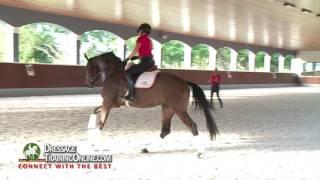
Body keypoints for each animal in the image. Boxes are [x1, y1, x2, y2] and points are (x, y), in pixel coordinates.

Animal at [85, 52, 219, 141]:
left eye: (89, 67)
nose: (88, 83)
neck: (113, 73)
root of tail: (184, 82)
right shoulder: (113, 104)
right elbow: (95, 111)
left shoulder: (107, 102)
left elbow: (101, 122)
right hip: (168, 108)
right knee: (165, 131)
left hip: (179, 109)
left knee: (191, 126)